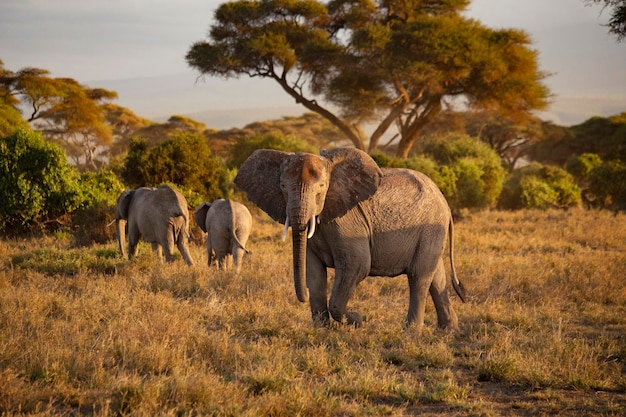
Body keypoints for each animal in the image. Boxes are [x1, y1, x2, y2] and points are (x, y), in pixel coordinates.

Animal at [233, 146, 464, 332]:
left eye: (321, 188)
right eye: (282, 187)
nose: (302, 296)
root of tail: (444, 200)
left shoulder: (348, 222)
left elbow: (357, 265)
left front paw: (358, 320)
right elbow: (314, 273)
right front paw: (321, 332)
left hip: (431, 226)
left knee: (418, 275)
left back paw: (410, 334)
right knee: (435, 277)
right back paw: (447, 331)